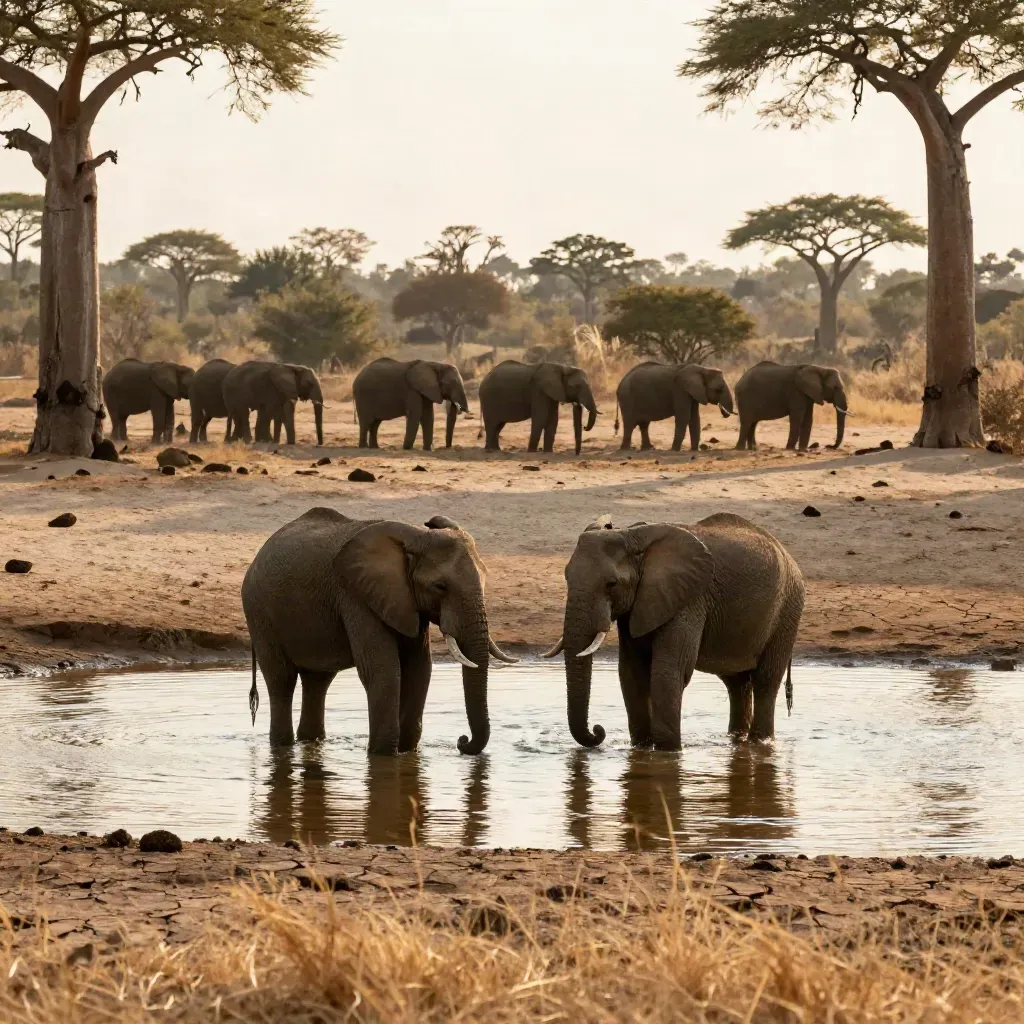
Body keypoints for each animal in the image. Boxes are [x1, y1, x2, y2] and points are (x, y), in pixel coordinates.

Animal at [242, 508, 519, 753]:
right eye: (440, 586)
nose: (462, 741)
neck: (414, 536)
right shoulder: (355, 596)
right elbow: (382, 669)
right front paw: (382, 754)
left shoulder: (405, 600)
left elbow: (419, 668)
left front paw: (406, 752)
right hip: (259, 612)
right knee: (282, 680)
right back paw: (282, 746)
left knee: (318, 681)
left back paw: (311, 742)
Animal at [544, 513, 805, 750]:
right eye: (566, 577)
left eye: (612, 584)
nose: (598, 731)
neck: (633, 536)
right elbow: (631, 672)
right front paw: (641, 748)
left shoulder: (689, 599)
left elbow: (669, 671)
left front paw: (668, 751)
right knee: (736, 684)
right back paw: (735, 740)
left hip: (788, 609)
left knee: (765, 681)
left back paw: (759, 743)